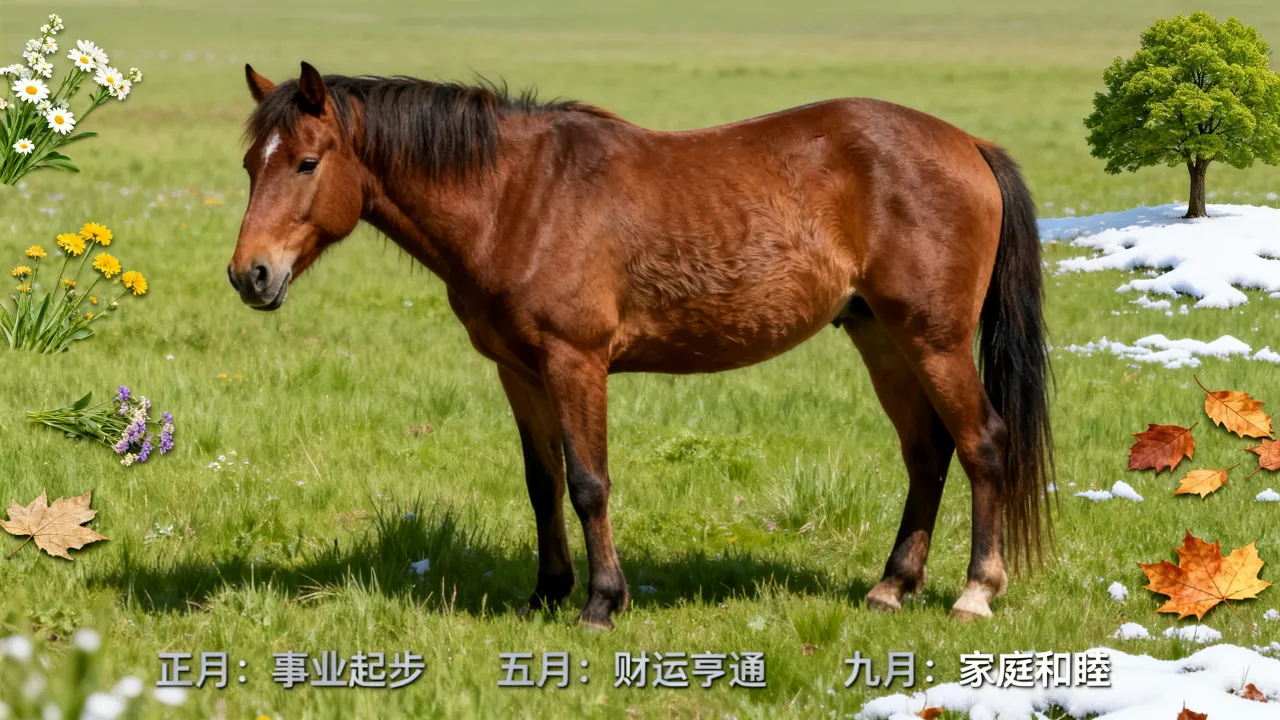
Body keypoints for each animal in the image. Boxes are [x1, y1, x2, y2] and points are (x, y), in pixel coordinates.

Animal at [229, 62, 1053, 629]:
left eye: (306, 162)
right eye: (249, 164)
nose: (250, 274)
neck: (516, 197)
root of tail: (967, 143)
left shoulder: (576, 361)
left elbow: (590, 481)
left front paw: (600, 601)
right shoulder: (519, 371)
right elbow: (543, 483)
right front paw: (546, 593)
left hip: (933, 339)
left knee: (982, 443)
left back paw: (976, 590)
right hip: (879, 334)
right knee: (926, 451)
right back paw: (892, 585)